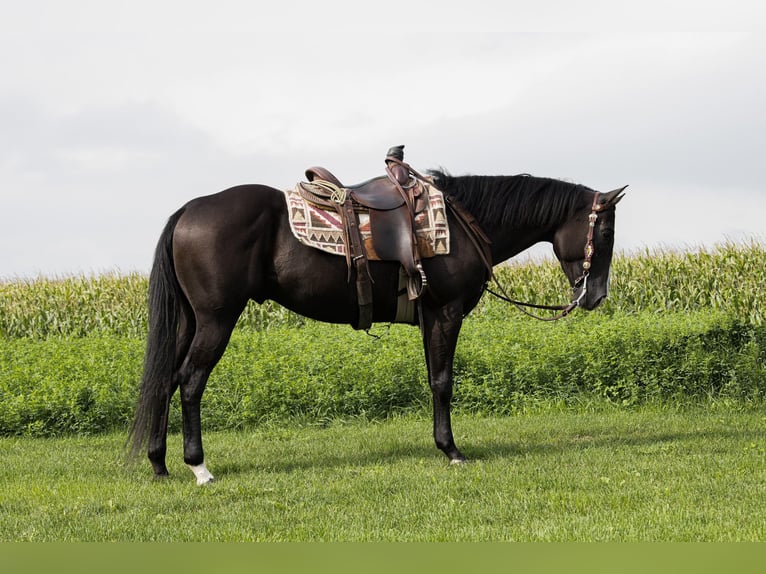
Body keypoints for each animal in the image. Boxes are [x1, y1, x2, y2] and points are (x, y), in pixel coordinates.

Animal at [129, 163, 628, 486]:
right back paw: (199, 467)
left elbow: (433, 379)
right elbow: (443, 382)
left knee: (165, 381)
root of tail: (188, 212)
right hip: (216, 320)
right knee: (191, 382)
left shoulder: (430, 318)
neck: (464, 223)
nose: (596, 296)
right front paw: (451, 451)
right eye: (605, 232)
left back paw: (159, 463)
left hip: (189, 322)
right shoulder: (446, 314)